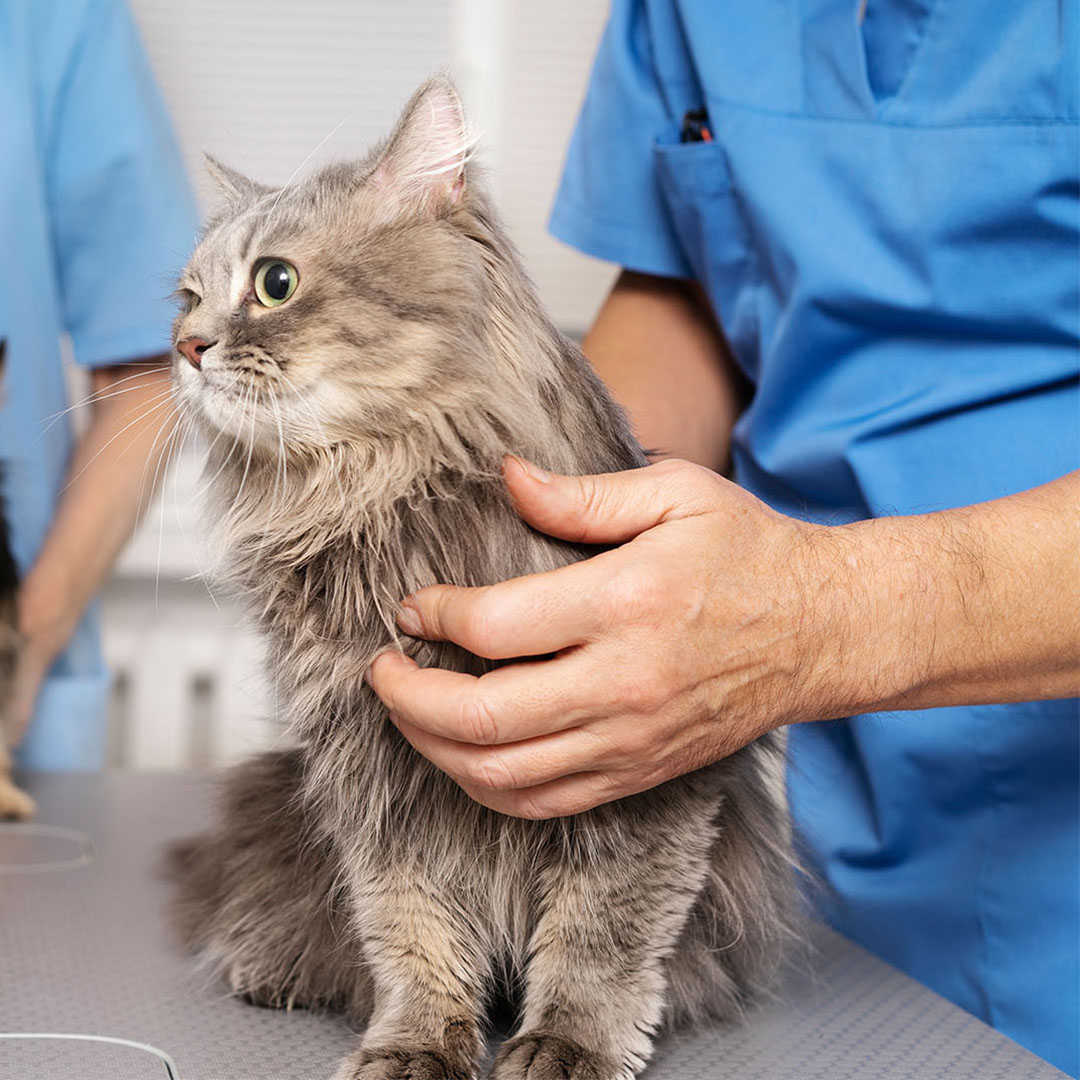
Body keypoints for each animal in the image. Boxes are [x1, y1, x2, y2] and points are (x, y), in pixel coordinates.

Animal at [166, 78, 794, 1080]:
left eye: (275, 282)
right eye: (185, 299)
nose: (186, 348)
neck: (377, 498)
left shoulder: (645, 780)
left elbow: (602, 931)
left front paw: (569, 1042)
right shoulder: (373, 778)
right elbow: (410, 929)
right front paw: (418, 1041)